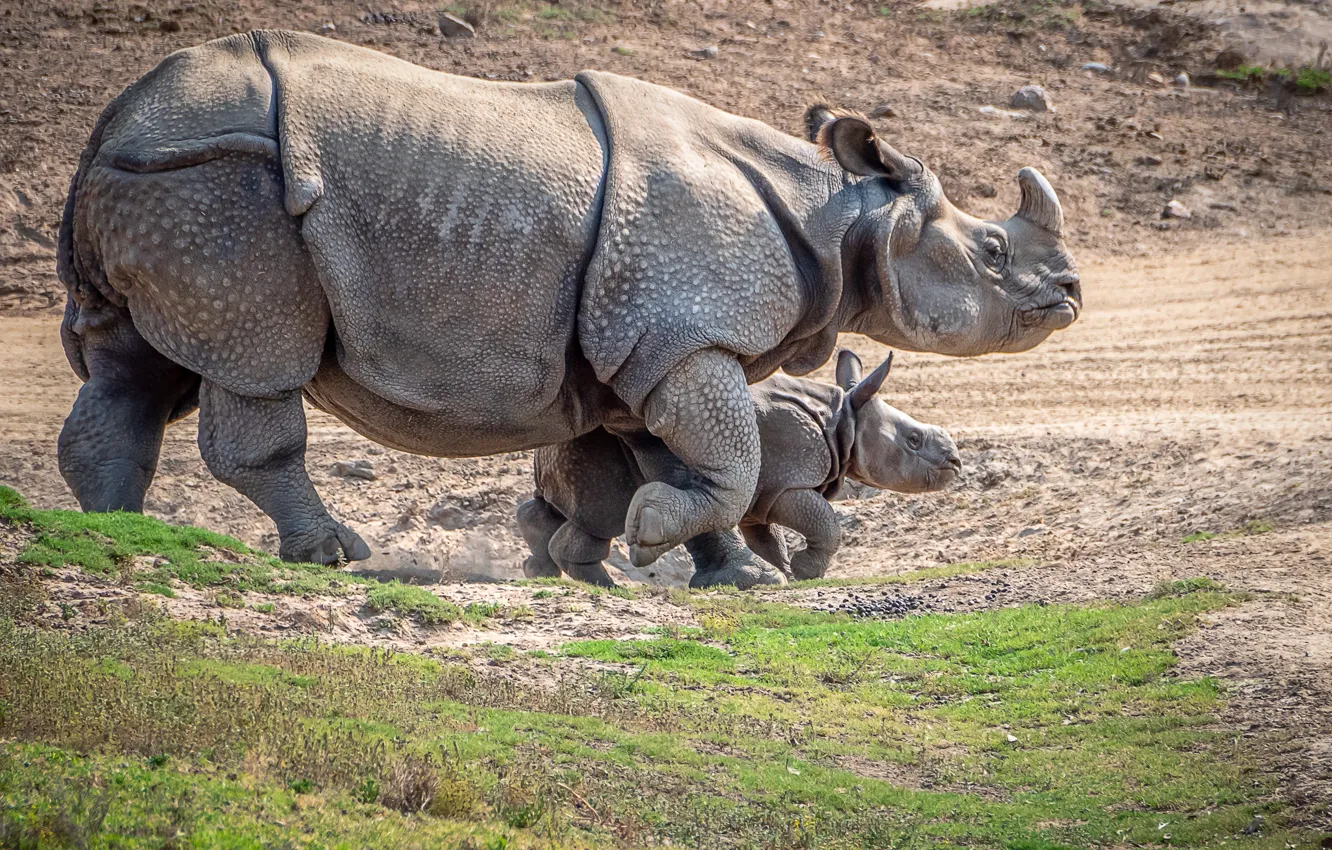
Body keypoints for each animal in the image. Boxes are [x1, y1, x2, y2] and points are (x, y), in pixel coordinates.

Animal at [519, 349, 961, 585]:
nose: (955, 461)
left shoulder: (765, 495)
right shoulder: (788, 484)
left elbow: (769, 537)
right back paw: (607, 587)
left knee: (573, 513)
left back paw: (554, 573)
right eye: (913, 441)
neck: (845, 419)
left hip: (578, 447)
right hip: (600, 453)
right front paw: (804, 571)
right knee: (603, 515)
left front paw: (785, 574)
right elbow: (825, 522)